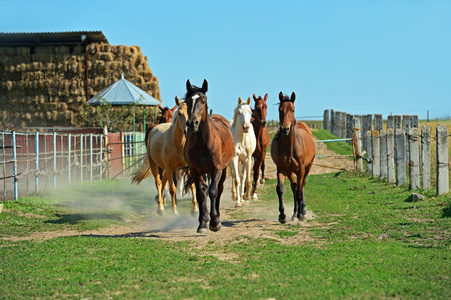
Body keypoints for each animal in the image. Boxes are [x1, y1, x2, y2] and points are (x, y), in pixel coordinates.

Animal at [184, 79, 235, 234]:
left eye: (203, 100)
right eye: (187, 101)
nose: (192, 123)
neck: (203, 142)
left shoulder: (216, 169)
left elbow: (213, 191)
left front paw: (214, 222)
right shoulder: (195, 171)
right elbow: (201, 194)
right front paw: (202, 224)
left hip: (223, 170)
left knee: (219, 189)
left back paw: (216, 217)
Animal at [270, 91, 316, 223]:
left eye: (293, 110)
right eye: (280, 109)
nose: (285, 129)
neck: (290, 148)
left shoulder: (301, 169)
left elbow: (300, 192)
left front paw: (302, 216)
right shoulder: (281, 169)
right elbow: (280, 189)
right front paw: (282, 216)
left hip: (307, 167)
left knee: (302, 186)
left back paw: (302, 212)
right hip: (290, 171)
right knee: (294, 186)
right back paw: (295, 214)